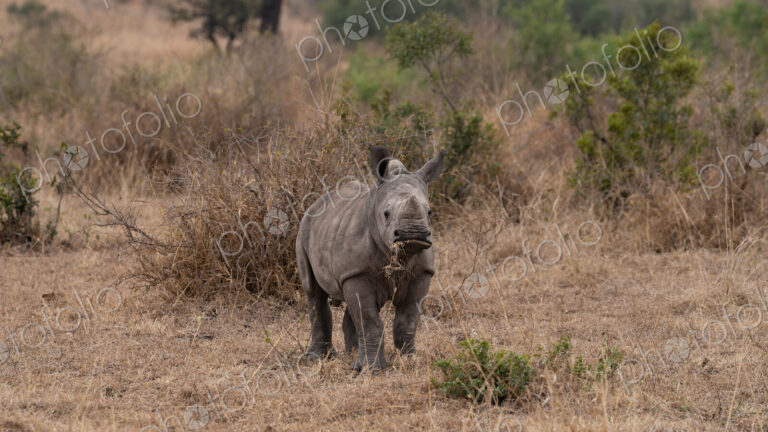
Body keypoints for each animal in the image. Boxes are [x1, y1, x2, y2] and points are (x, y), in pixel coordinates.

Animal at [295, 146, 445, 371]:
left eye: (430, 212)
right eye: (386, 213)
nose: (413, 233)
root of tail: (318, 202)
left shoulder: (422, 273)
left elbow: (407, 321)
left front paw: (408, 360)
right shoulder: (356, 273)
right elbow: (369, 321)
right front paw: (372, 370)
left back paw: (352, 356)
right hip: (304, 228)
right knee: (313, 291)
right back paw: (318, 358)